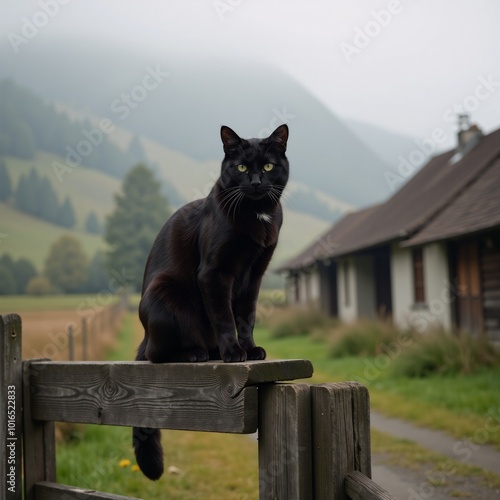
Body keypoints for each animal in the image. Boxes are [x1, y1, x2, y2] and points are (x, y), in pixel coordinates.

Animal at [133, 123, 290, 478]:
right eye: (242, 167)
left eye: (269, 166)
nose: (256, 182)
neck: (256, 215)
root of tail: (144, 334)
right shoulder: (214, 273)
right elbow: (224, 317)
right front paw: (234, 353)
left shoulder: (254, 274)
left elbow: (246, 316)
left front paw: (250, 350)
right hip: (165, 293)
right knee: (155, 354)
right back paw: (197, 353)